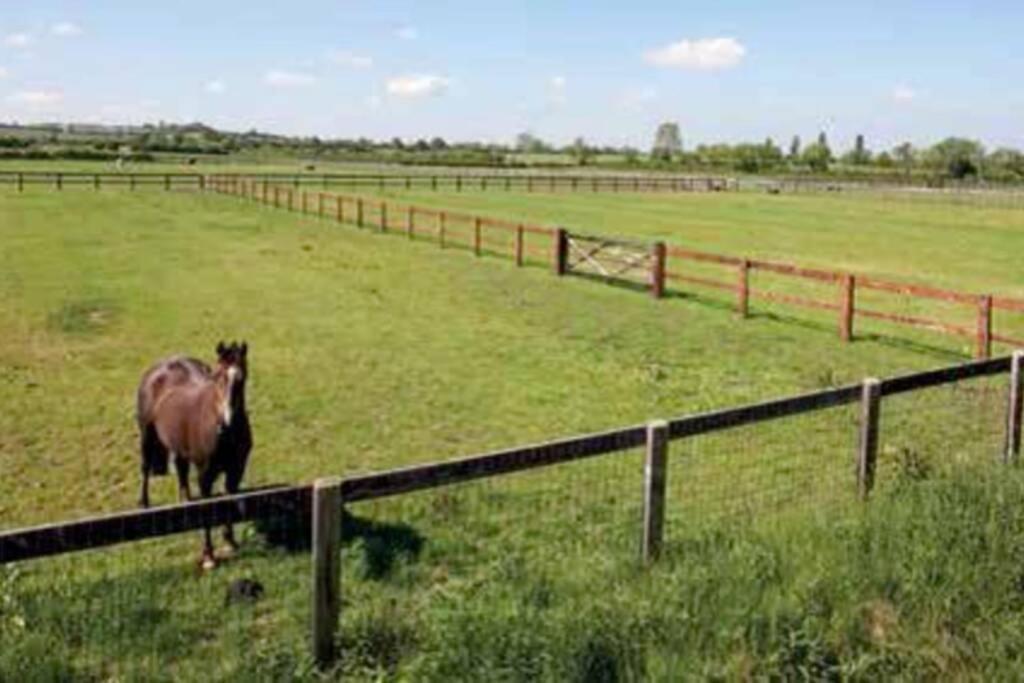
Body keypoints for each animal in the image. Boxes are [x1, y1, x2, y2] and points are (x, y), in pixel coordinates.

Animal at [136, 342, 251, 573]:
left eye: (242, 379)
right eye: (218, 377)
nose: (226, 423)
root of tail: (160, 368)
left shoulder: (235, 472)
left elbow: (228, 504)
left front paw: (230, 541)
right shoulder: (204, 476)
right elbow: (206, 512)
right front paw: (208, 555)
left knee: (181, 471)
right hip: (146, 434)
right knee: (145, 468)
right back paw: (144, 502)